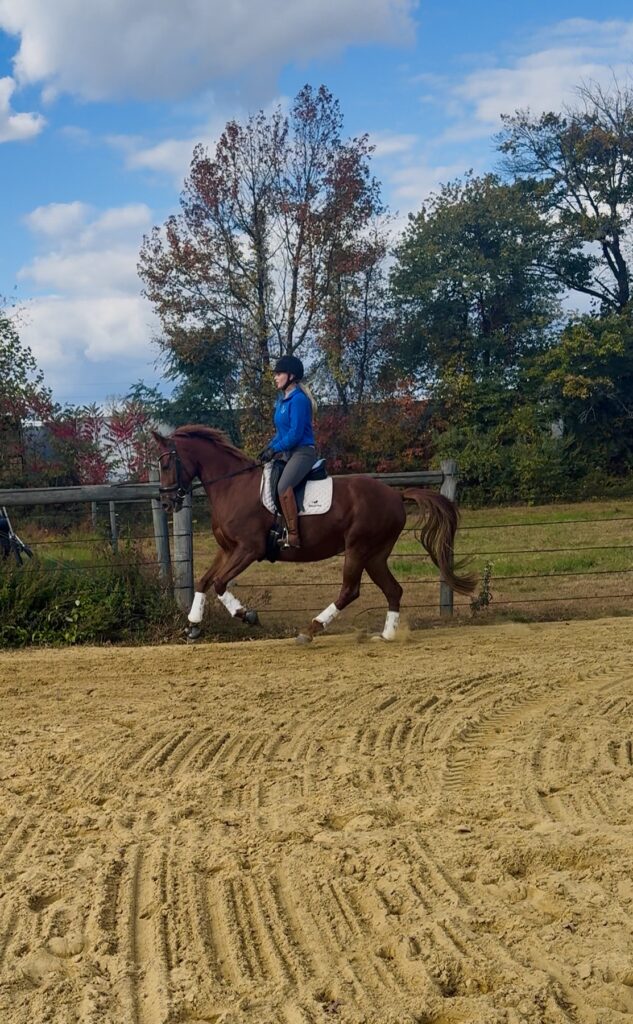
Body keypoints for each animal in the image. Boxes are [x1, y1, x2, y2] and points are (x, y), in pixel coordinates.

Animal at [152, 425, 476, 643]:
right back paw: (385, 636)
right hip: (375, 555)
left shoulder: (249, 549)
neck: (232, 486)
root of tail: (396, 495)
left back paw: (311, 629)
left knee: (350, 590)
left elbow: (219, 583)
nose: (167, 503)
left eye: (166, 463)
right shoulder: (227, 549)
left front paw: (248, 616)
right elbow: (204, 580)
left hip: (358, 549)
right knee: (393, 590)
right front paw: (194, 625)